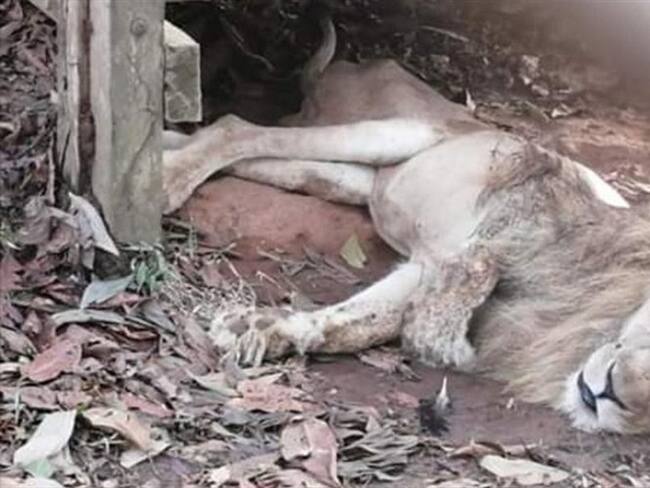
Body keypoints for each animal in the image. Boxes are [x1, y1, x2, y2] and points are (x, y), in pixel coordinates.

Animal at [162, 16, 650, 434]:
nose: (612, 394)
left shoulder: (422, 268)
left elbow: (366, 321)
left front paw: (263, 330)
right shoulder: (507, 220)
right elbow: (440, 319)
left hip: (354, 177)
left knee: (259, 155)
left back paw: (171, 148)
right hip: (400, 131)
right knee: (239, 128)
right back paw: (170, 178)